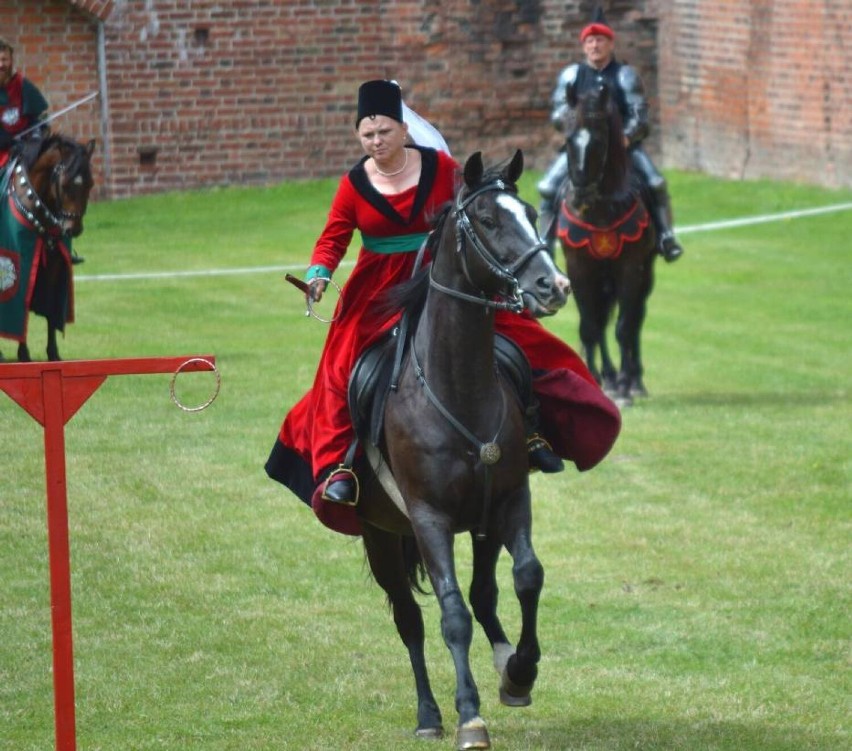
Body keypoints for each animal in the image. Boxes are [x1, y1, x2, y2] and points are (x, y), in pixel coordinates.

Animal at [0, 134, 95, 362]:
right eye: (65, 184)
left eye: (90, 184)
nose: (73, 229)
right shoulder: (21, 266)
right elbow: (22, 306)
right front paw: (24, 355)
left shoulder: (55, 267)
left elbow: (51, 312)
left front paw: (53, 354)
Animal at [352, 150, 572, 748]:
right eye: (490, 221)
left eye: (530, 212)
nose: (554, 285)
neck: (457, 390)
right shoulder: (429, 519)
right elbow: (451, 614)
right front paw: (469, 715)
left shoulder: (508, 501)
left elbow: (527, 576)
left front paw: (520, 671)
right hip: (381, 535)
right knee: (410, 618)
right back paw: (429, 714)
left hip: (478, 525)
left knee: (485, 593)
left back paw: (503, 664)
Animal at [556, 82, 656, 406]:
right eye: (569, 138)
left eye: (599, 141)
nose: (580, 195)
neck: (601, 210)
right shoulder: (579, 269)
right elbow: (590, 327)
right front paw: (597, 378)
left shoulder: (631, 268)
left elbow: (624, 327)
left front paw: (624, 385)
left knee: (635, 318)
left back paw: (634, 381)